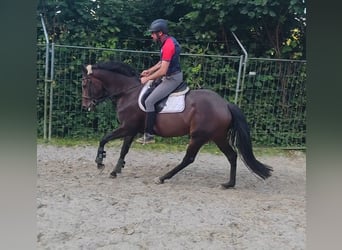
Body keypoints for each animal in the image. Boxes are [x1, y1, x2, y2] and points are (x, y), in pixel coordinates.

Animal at [81, 61, 272, 188]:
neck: (127, 92)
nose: (85, 106)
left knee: (189, 158)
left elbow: (104, 138)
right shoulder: (131, 129)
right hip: (218, 137)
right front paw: (115, 170)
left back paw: (162, 178)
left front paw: (99, 162)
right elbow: (124, 149)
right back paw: (229, 183)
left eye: (84, 84)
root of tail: (224, 104)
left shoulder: (127, 127)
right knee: (232, 156)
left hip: (199, 136)